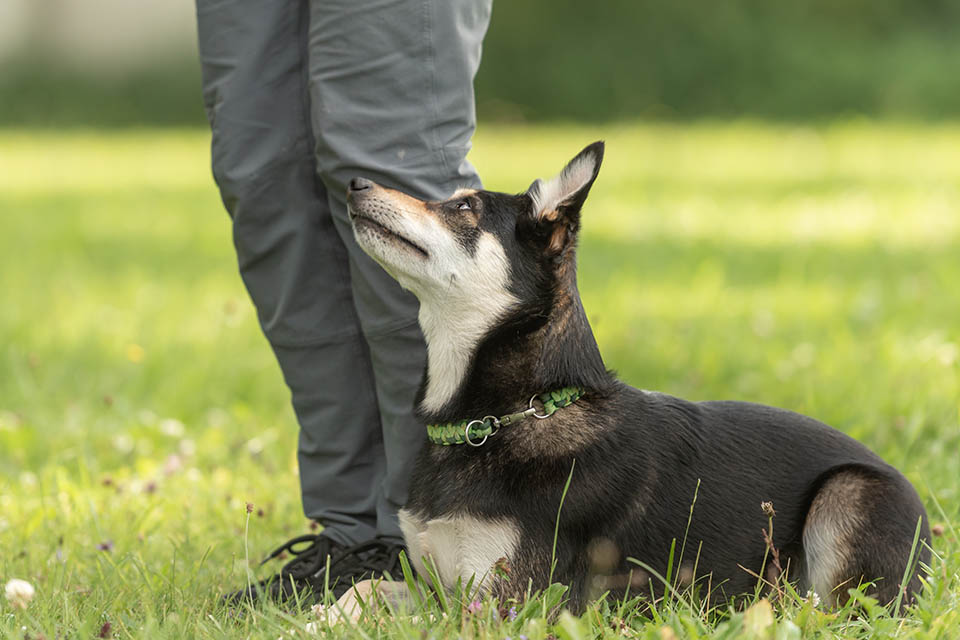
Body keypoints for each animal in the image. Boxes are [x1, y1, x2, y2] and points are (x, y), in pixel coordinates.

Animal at [340, 141, 928, 620]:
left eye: (465, 207)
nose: (355, 183)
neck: (507, 414)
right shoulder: (435, 584)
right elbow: (363, 591)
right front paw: (325, 614)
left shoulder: (509, 603)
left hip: (846, 496)